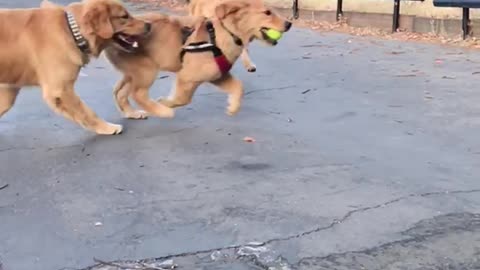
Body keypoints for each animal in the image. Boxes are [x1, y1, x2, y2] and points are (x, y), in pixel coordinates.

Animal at [0, 0, 150, 134]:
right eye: (124, 16)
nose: (149, 25)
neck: (71, 30)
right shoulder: (61, 90)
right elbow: (86, 112)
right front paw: (107, 128)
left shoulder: (8, 91)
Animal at [105, 0, 290, 119]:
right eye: (267, 13)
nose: (289, 24)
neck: (225, 33)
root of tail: (114, 35)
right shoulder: (187, 77)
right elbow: (183, 99)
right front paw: (166, 103)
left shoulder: (218, 76)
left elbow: (238, 87)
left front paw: (233, 106)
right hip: (147, 70)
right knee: (138, 94)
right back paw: (161, 111)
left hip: (133, 71)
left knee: (119, 92)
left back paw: (131, 113)